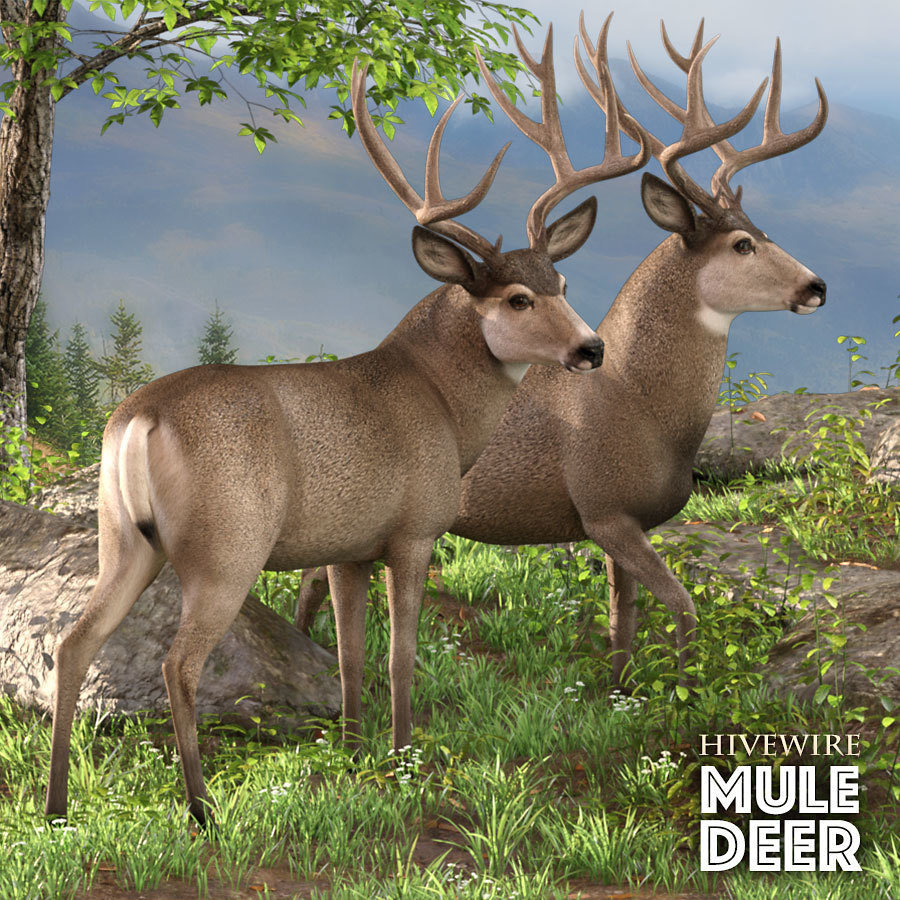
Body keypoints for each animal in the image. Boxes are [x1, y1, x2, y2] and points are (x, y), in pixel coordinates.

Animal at [45, 26, 651, 824]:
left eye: (564, 282)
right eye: (518, 298)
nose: (592, 348)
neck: (441, 404)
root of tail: (138, 418)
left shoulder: (346, 547)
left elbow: (352, 652)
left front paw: (357, 749)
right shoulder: (414, 529)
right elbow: (400, 653)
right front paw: (404, 757)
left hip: (124, 535)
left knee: (74, 642)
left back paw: (56, 805)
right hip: (226, 543)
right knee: (179, 663)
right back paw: (201, 806)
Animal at [294, 17, 828, 687]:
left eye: (764, 230)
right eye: (742, 245)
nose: (817, 286)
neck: (641, 408)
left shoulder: (624, 525)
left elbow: (623, 619)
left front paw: (621, 691)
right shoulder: (604, 509)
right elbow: (681, 605)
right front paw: (683, 691)